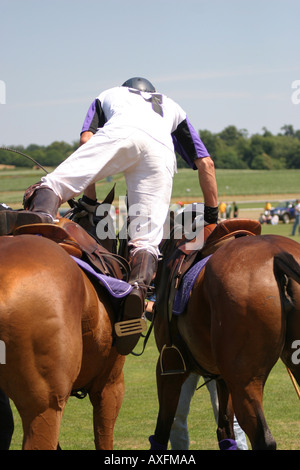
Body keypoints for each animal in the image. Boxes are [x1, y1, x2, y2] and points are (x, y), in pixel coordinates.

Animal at [151, 229, 300, 450]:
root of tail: (278, 255)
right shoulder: (221, 377)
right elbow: (225, 431)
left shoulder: (169, 367)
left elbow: (161, 431)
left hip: (245, 380)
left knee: (263, 438)